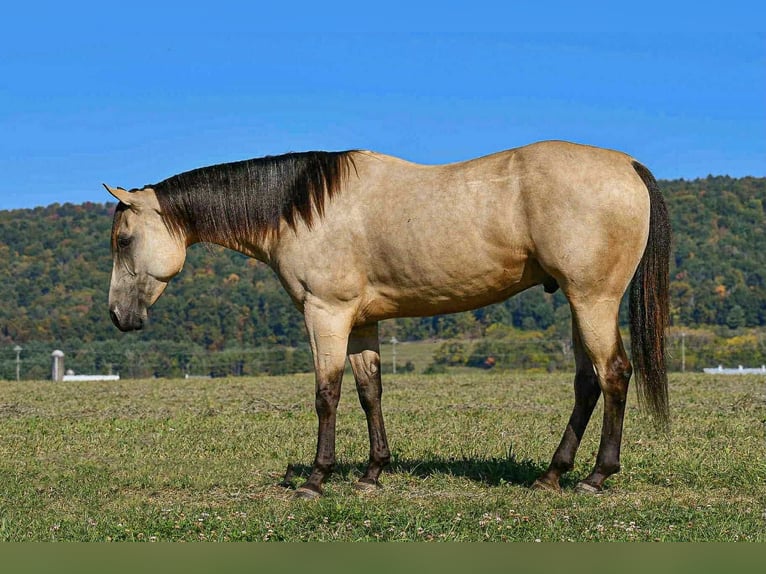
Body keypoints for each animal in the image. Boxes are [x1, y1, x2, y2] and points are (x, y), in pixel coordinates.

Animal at [105, 140, 670, 498]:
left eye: (123, 240)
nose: (117, 315)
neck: (305, 209)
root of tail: (628, 166)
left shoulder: (325, 315)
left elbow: (327, 394)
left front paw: (317, 479)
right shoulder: (360, 322)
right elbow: (369, 391)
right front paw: (373, 473)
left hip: (593, 299)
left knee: (614, 374)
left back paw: (596, 477)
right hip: (578, 303)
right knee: (587, 382)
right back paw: (552, 475)